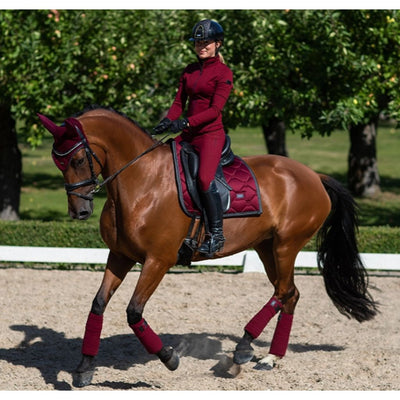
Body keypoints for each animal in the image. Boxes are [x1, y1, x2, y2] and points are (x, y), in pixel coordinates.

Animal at [38, 106, 378, 388]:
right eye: (58, 162)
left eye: (77, 160)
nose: (79, 211)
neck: (141, 182)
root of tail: (314, 176)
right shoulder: (120, 256)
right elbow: (97, 305)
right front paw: (83, 369)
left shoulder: (158, 261)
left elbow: (134, 312)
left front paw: (169, 358)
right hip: (267, 248)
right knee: (290, 294)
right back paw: (270, 358)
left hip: (286, 246)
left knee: (283, 293)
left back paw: (242, 349)